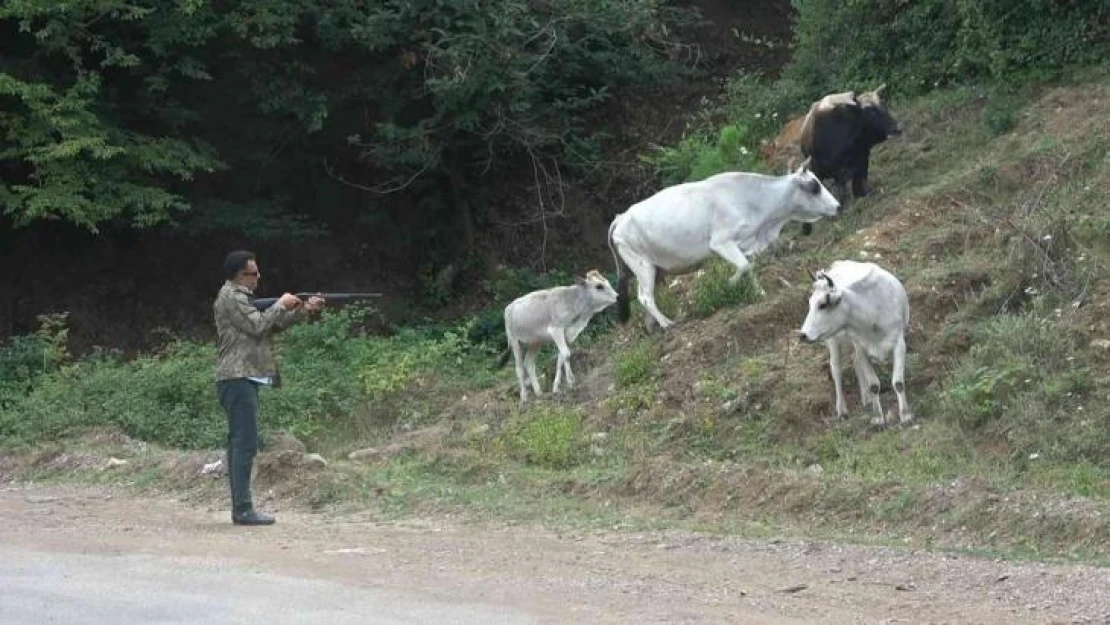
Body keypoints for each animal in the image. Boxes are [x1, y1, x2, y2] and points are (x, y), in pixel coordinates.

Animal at [501, 271, 621, 404]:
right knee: (519, 368)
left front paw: (556, 387)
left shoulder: (567, 334)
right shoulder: (556, 330)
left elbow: (561, 358)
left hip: (535, 342)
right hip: (515, 342)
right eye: (599, 286)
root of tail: (509, 307)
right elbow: (566, 355)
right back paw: (524, 397)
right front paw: (571, 381)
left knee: (529, 363)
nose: (617, 296)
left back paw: (539, 392)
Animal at [608, 158, 839, 330]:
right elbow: (744, 266)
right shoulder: (721, 243)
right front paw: (730, 284)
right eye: (814, 187)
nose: (837, 206)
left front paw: (760, 293)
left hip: (654, 269)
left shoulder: (743, 243)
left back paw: (652, 326)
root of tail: (620, 217)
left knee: (646, 298)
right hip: (643, 266)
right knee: (645, 297)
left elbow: (749, 266)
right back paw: (667, 323)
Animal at [803, 259, 914, 426]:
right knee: (836, 369)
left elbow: (898, 382)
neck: (872, 312)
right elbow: (874, 384)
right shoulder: (861, 347)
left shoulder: (899, 343)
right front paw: (877, 418)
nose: (803, 335)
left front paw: (906, 415)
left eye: (822, 304)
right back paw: (842, 410)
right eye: (810, 303)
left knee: (854, 363)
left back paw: (866, 399)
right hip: (833, 340)